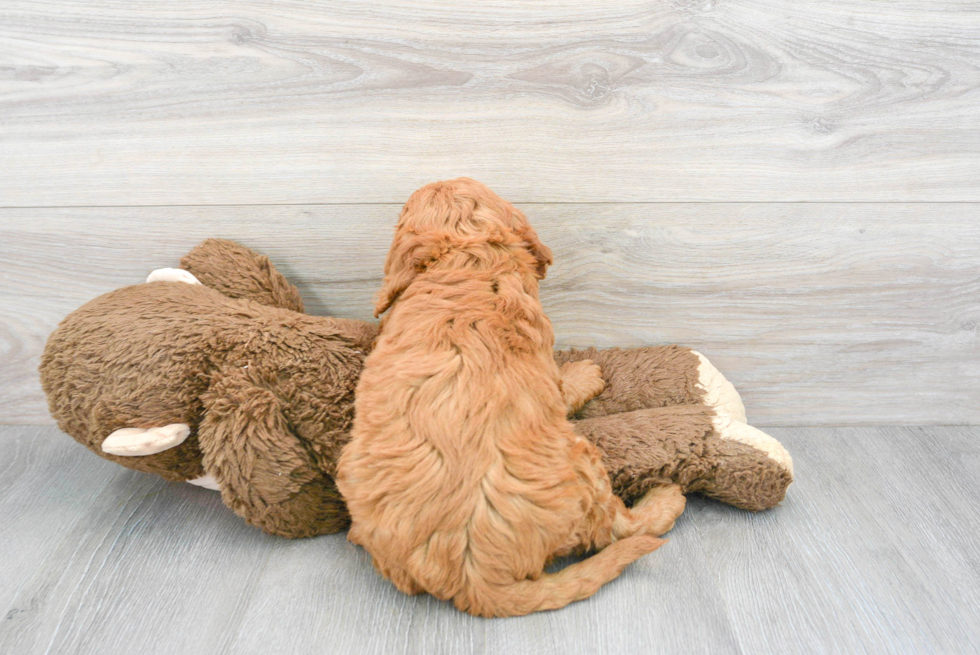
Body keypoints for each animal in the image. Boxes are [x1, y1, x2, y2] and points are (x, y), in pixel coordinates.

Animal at [334, 177, 684, 616]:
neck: (468, 262)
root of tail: (475, 581)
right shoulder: (546, 368)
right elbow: (564, 386)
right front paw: (585, 374)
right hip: (583, 466)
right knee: (615, 528)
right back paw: (666, 499)